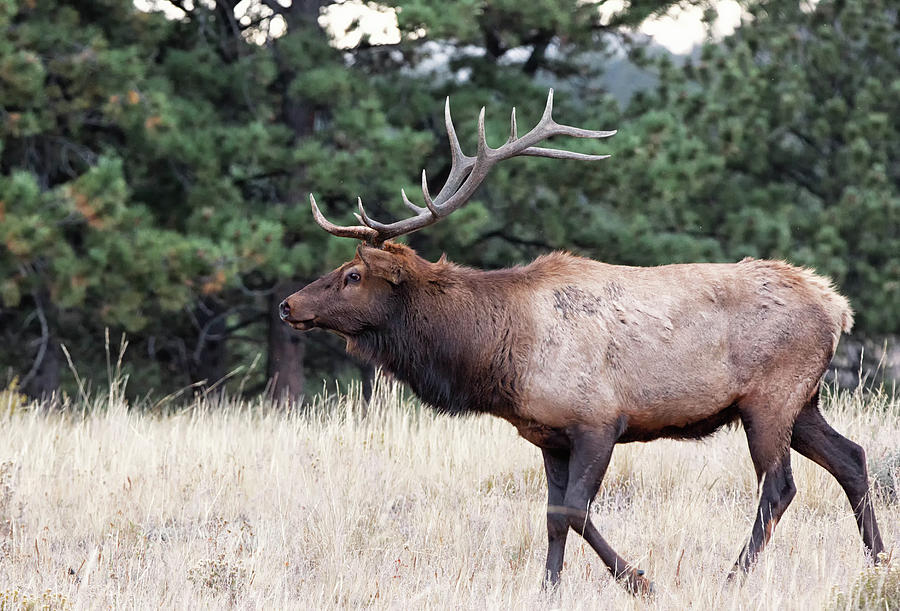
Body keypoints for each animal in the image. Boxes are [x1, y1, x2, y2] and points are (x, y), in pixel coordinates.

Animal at [278, 92, 884, 596]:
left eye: (353, 275)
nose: (287, 304)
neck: (498, 354)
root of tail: (838, 308)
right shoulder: (548, 435)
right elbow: (552, 516)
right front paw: (548, 588)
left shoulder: (598, 420)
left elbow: (574, 511)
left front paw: (641, 580)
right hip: (802, 400)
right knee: (852, 458)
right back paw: (878, 562)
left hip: (770, 398)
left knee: (779, 487)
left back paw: (733, 576)